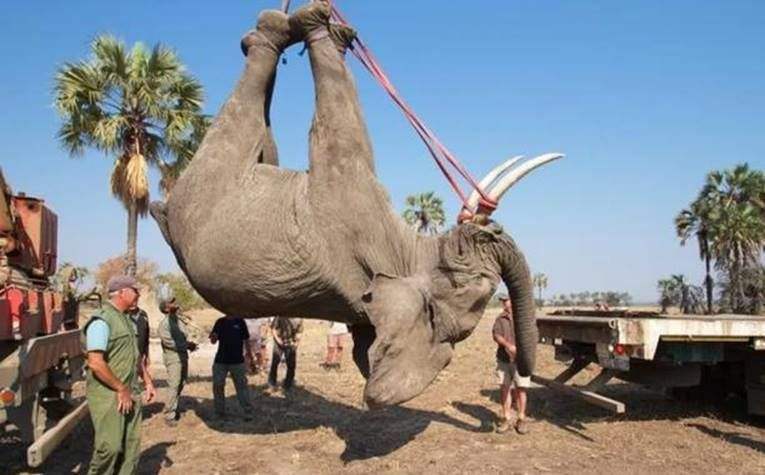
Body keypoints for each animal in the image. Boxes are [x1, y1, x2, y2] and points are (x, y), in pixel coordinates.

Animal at [151, 2, 562, 407]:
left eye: (475, 284)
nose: (491, 226)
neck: (405, 252)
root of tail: (164, 217)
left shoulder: (348, 204)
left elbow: (338, 134)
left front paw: (317, 22)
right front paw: (336, 28)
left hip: (208, 176)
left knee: (246, 112)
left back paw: (279, 26)